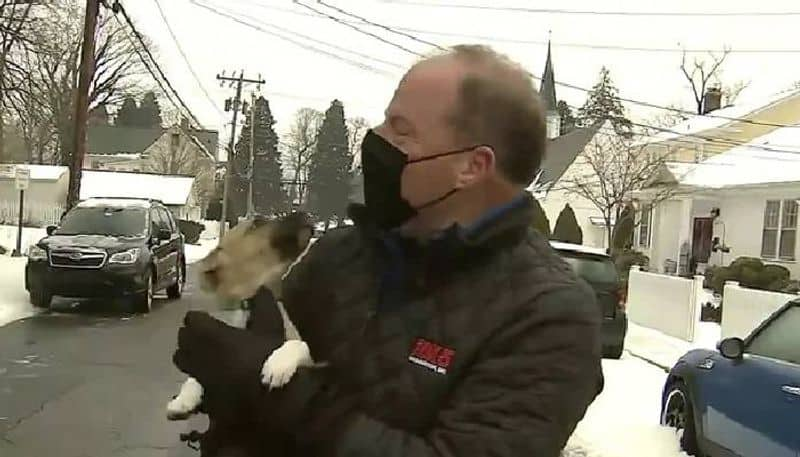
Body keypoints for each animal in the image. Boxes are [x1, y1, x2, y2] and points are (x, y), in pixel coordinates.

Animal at [167, 214, 318, 420]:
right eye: (257, 223)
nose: (305, 214)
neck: (246, 304)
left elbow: (299, 343)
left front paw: (278, 363)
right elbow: (194, 376)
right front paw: (184, 398)